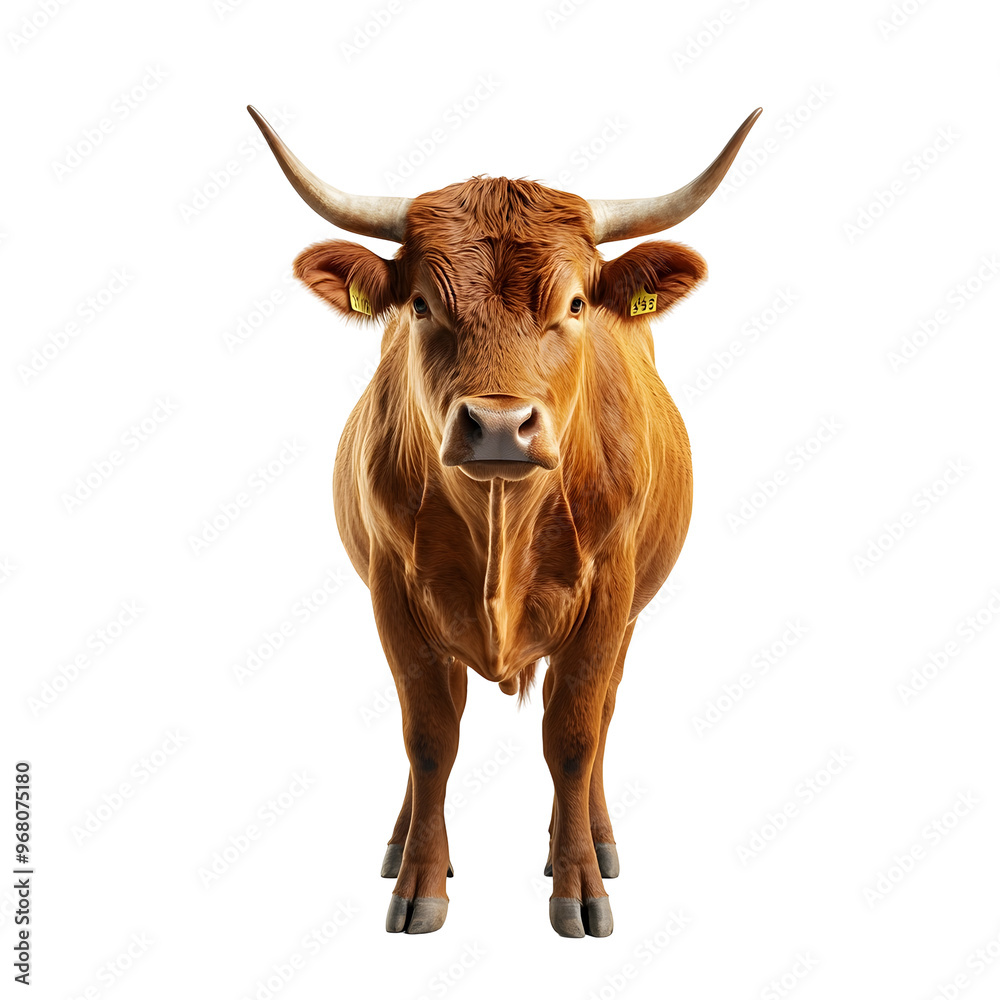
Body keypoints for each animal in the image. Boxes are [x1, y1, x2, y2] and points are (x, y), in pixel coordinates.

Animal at [248, 104, 761, 937]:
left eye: (575, 305)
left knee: (600, 716)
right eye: (422, 304)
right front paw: (420, 881)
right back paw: (403, 841)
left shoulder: (608, 597)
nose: (497, 425)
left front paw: (579, 883)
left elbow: (575, 734)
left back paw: (592, 839)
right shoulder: (393, 593)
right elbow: (429, 735)